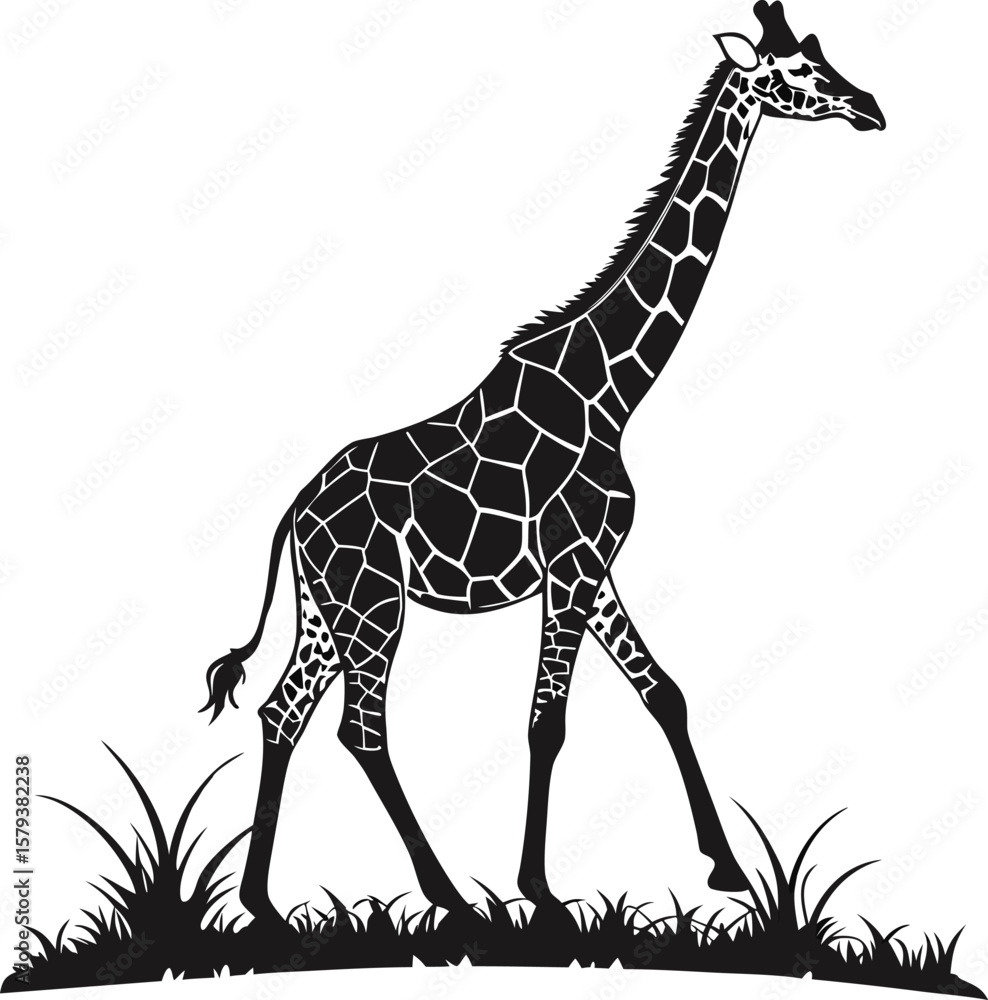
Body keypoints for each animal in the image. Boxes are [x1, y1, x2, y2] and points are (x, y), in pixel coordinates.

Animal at [201, 1, 885, 927]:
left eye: (821, 52)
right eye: (795, 71)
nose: (871, 108)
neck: (612, 389)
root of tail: (294, 514)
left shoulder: (595, 565)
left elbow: (664, 691)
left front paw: (727, 869)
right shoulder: (570, 565)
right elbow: (546, 722)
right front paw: (541, 892)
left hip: (328, 609)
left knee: (283, 712)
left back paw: (265, 904)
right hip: (374, 603)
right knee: (360, 727)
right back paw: (448, 896)